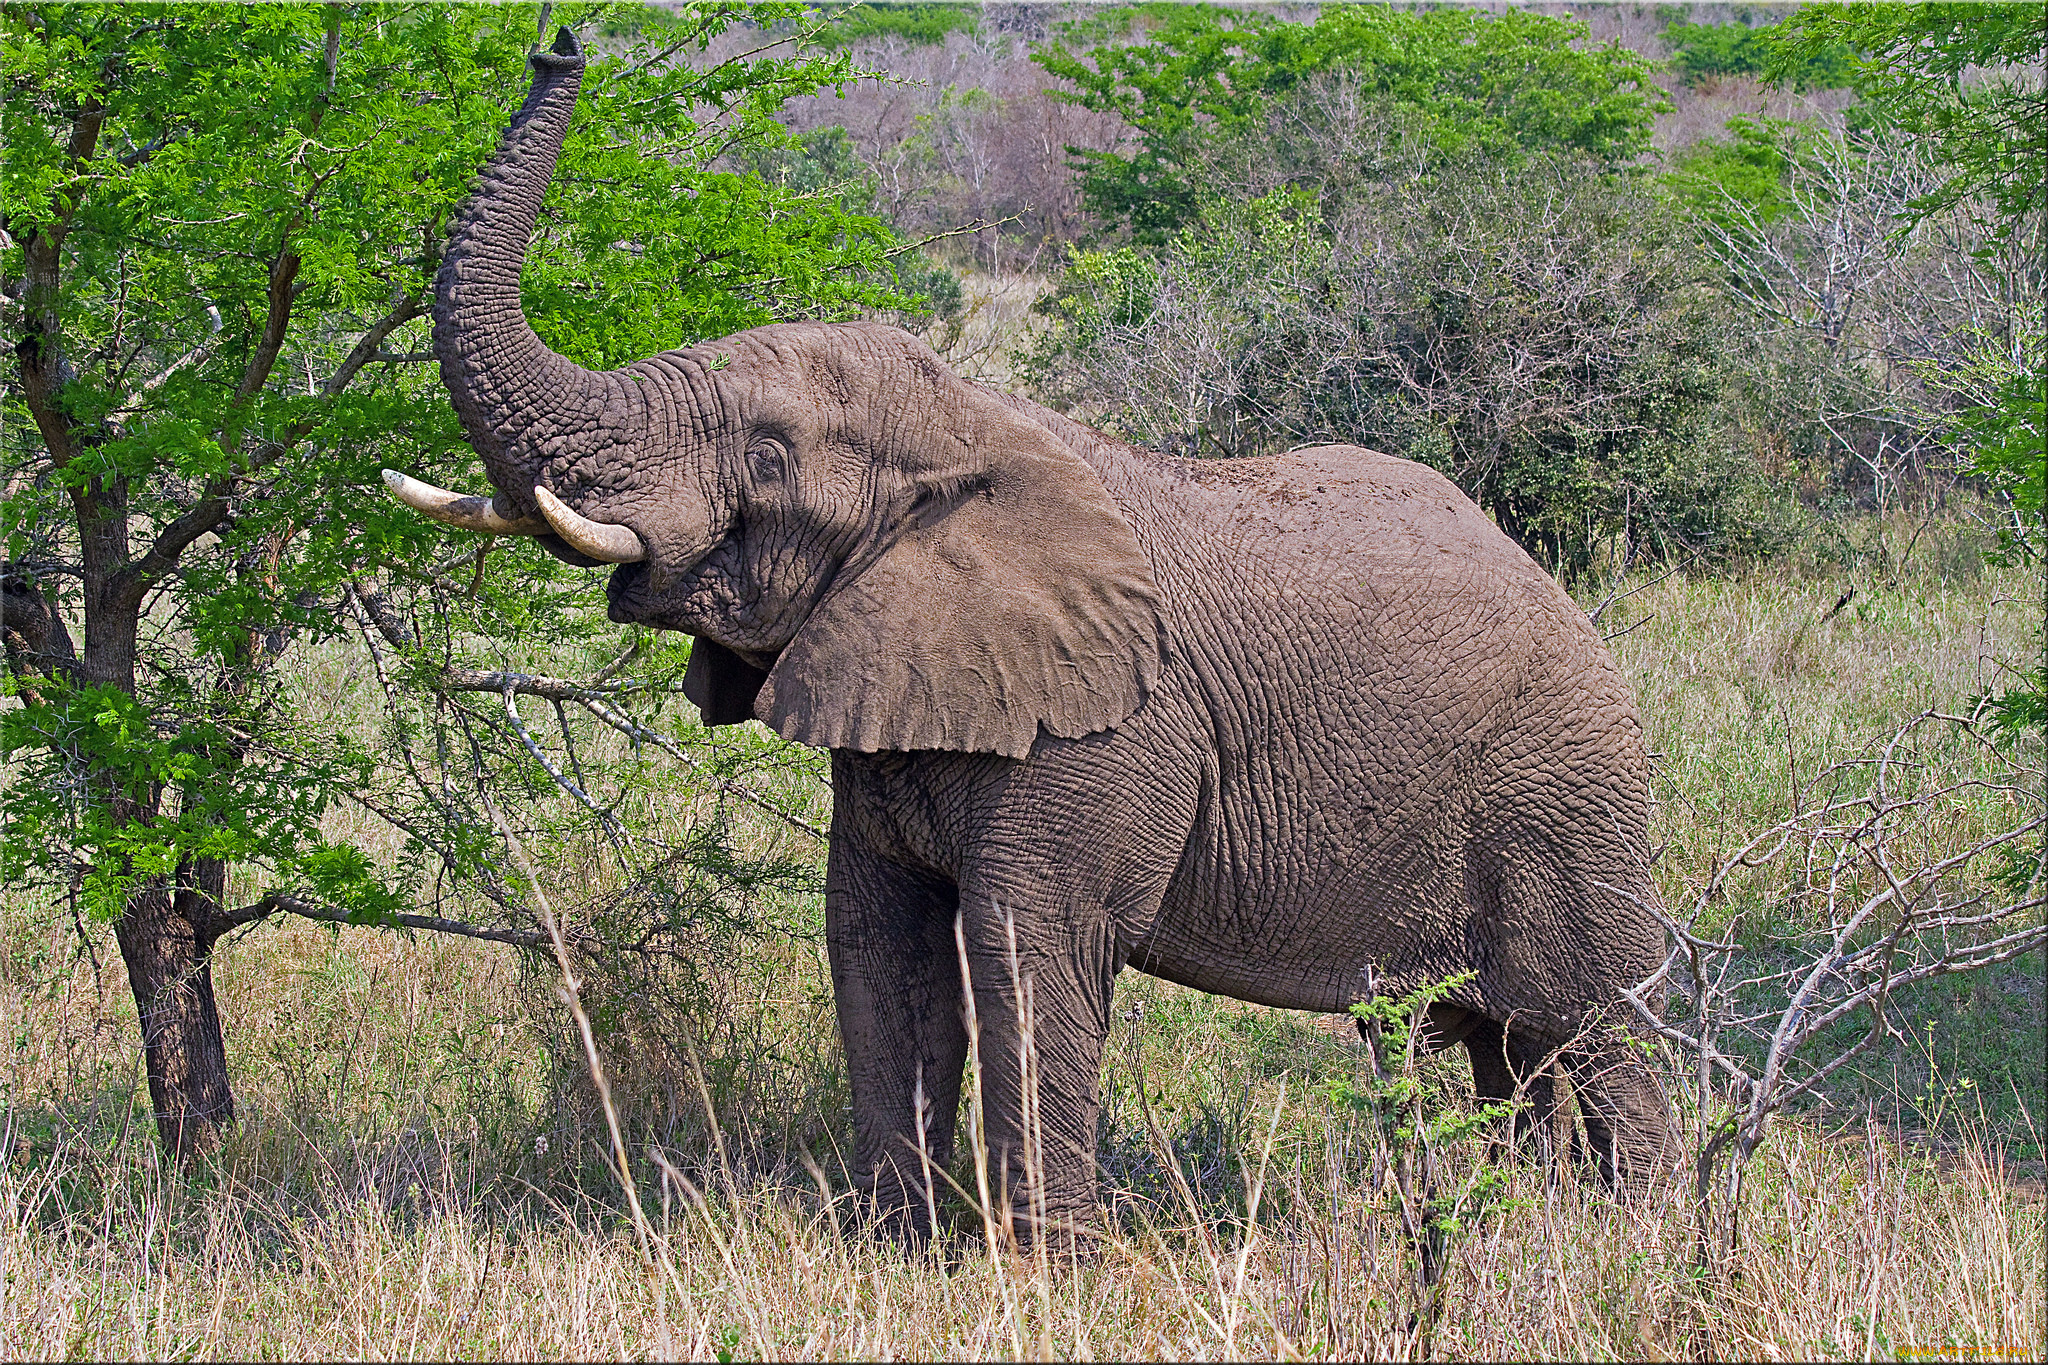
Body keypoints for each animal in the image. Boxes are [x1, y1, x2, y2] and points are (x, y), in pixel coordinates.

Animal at [387, 29, 1679, 1252]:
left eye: (765, 457)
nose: (558, 44)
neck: (969, 420)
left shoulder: (1105, 730)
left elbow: (1026, 944)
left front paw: (1048, 1269)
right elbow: (878, 944)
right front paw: (894, 1252)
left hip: (1565, 800)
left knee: (1595, 1027)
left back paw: (1639, 1239)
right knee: (1504, 1045)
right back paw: (1532, 1229)